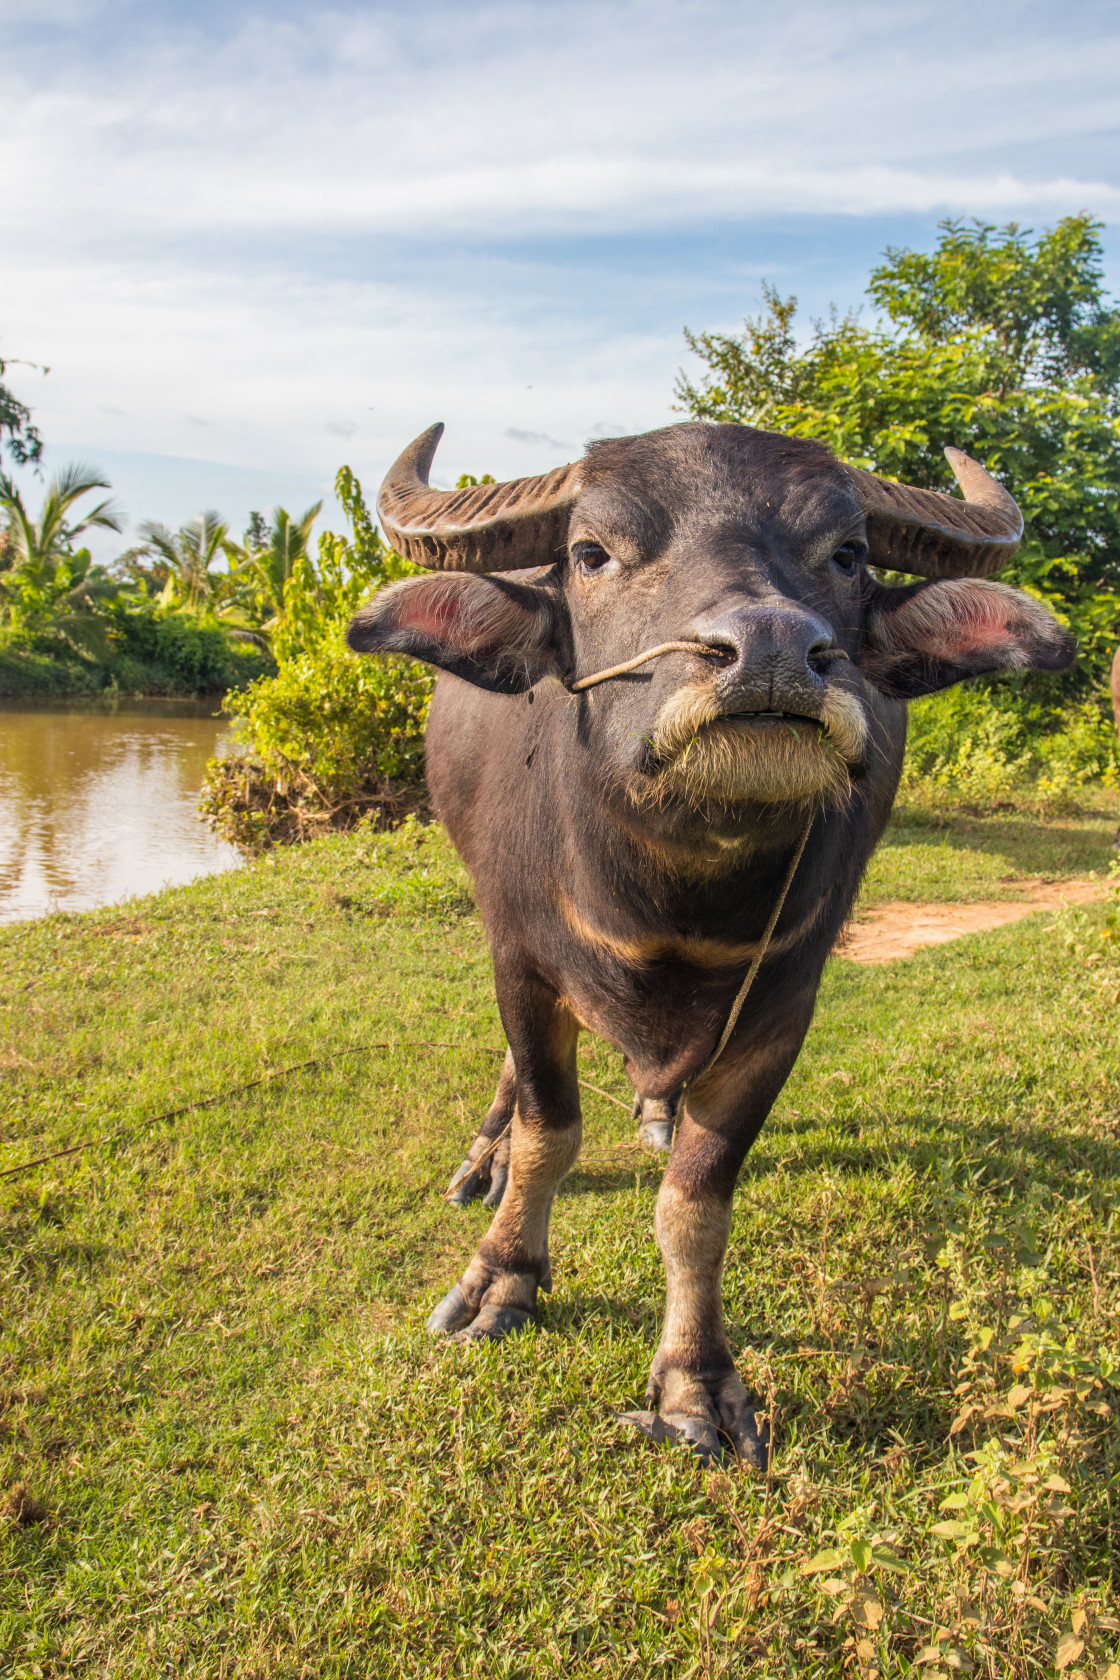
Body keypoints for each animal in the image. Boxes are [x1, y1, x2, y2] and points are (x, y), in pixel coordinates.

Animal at [350, 416, 1074, 1458]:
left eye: (847, 554)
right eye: (591, 553)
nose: (772, 648)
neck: (673, 898)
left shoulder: (780, 1012)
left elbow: (697, 1201)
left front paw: (695, 1383)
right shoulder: (519, 962)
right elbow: (549, 1129)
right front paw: (502, 1277)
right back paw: (487, 1159)